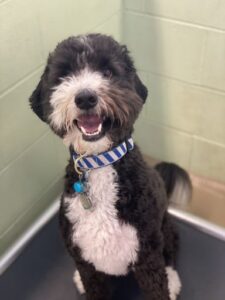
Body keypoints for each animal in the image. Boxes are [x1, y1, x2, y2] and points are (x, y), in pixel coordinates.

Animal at [29, 34, 192, 298]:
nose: (85, 97)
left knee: (171, 252)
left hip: (165, 229)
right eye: (64, 75)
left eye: (107, 72)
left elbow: (158, 288)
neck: (100, 164)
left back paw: (173, 280)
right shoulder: (86, 262)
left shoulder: (147, 258)